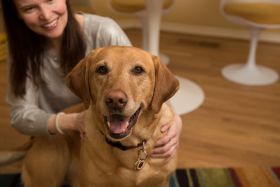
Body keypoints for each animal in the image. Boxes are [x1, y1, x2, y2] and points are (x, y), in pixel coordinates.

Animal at [20, 46, 179, 187]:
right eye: (101, 69)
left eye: (138, 70)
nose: (115, 100)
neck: (128, 147)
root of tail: (35, 139)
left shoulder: (160, 182)